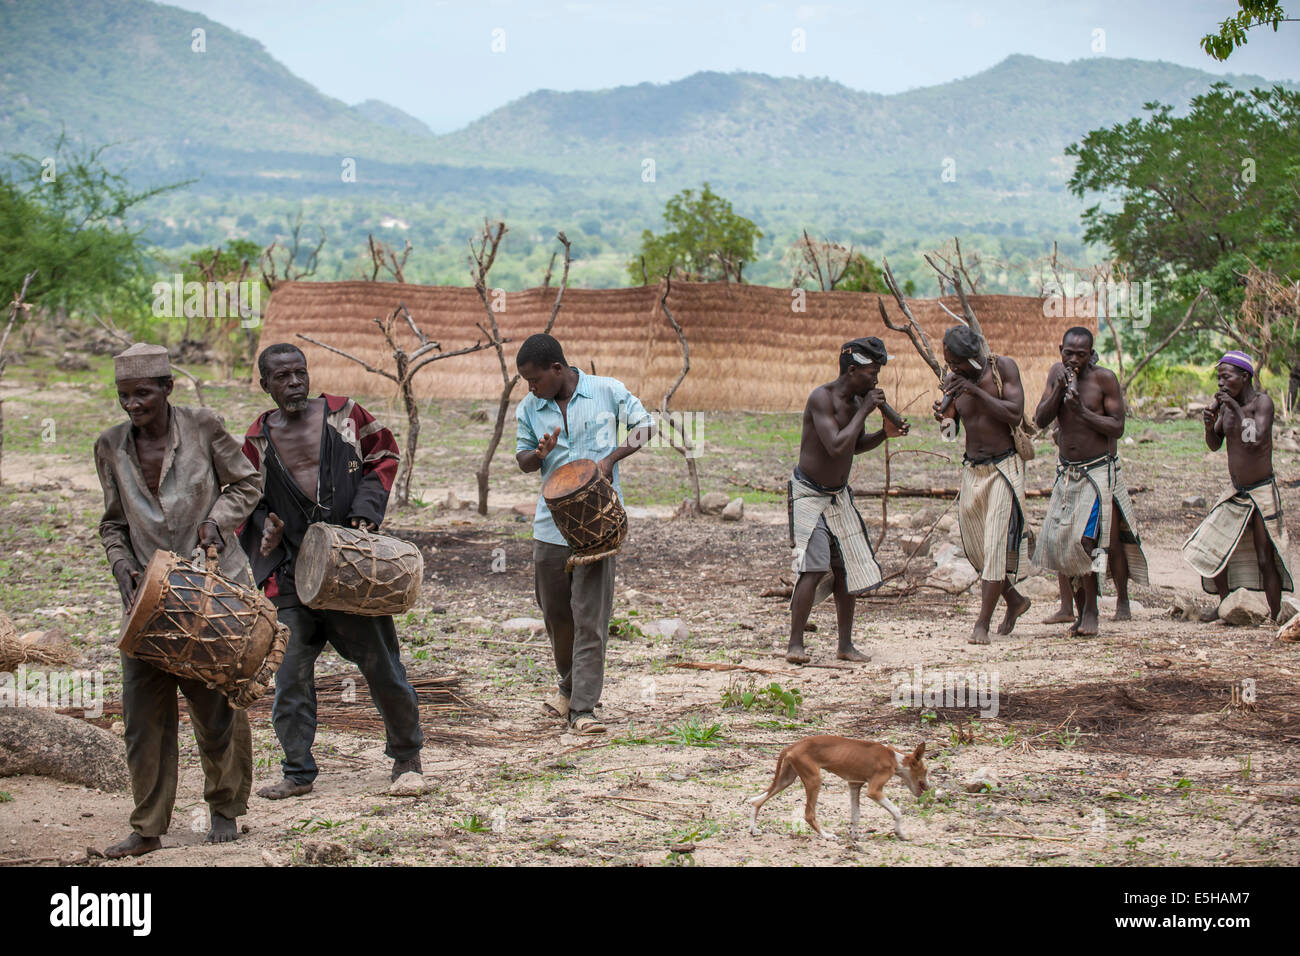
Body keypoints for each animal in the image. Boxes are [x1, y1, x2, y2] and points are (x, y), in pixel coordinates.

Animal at [748, 738, 930, 842]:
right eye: (926, 770)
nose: (929, 787)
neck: (894, 759)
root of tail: (792, 746)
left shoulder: (854, 785)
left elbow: (856, 815)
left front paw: (855, 836)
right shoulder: (873, 790)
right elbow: (897, 812)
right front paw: (900, 833)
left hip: (786, 780)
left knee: (756, 802)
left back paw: (753, 829)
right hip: (814, 780)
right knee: (809, 815)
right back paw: (827, 836)